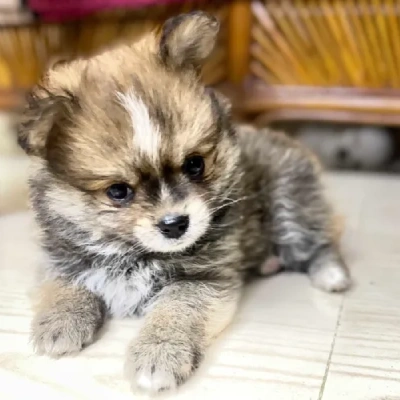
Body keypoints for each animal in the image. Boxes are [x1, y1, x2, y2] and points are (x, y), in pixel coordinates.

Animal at [17, 10, 352, 392]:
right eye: (118, 191)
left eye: (195, 164)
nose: (175, 224)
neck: (132, 253)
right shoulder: (58, 258)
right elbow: (61, 284)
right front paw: (59, 321)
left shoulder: (200, 280)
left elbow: (176, 310)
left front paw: (158, 353)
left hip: (291, 202)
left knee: (321, 240)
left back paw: (331, 275)